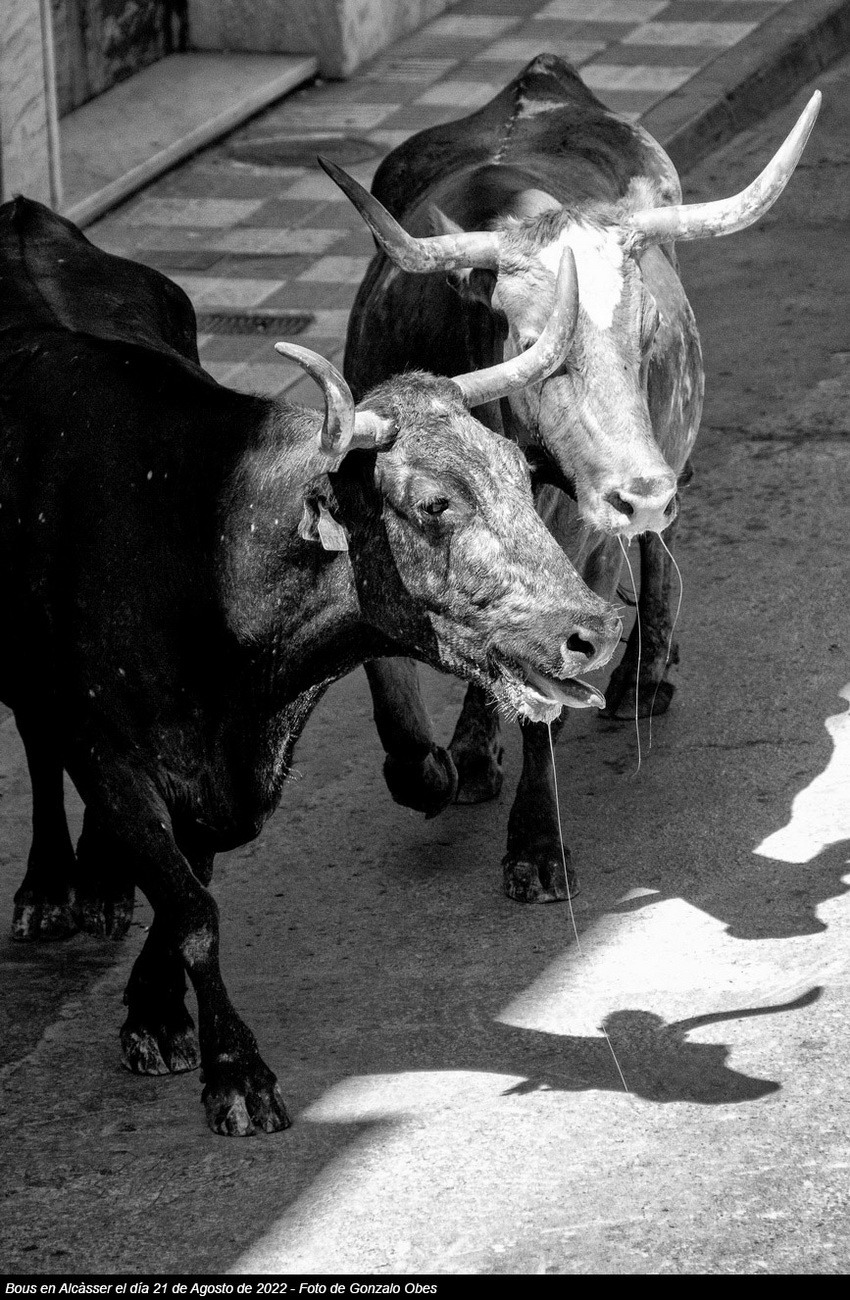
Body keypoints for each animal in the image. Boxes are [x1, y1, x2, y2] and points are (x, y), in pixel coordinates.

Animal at [0, 197, 623, 1135]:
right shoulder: (111, 750)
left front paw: (154, 1011)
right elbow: (192, 908)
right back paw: (49, 887)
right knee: (37, 744)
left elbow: (186, 884)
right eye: (433, 503)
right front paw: (234, 1070)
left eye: (521, 475)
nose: (596, 631)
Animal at [320, 55, 820, 904]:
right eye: (533, 341)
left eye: (648, 334)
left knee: (652, 556)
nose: (641, 491)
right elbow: (392, 676)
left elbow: (546, 684)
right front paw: (434, 768)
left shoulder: (580, 535)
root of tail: (542, 76)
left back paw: (645, 673)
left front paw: (536, 845)